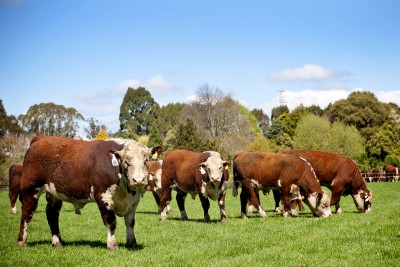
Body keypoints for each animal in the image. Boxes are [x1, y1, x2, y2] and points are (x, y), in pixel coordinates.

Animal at [17, 136, 161, 251]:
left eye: (147, 160)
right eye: (126, 161)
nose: (138, 179)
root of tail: (40, 138)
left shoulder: (134, 200)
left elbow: (130, 222)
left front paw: (132, 243)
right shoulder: (103, 196)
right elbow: (111, 222)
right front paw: (113, 245)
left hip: (54, 193)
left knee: (52, 214)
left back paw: (57, 243)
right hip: (30, 189)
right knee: (27, 213)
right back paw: (22, 242)